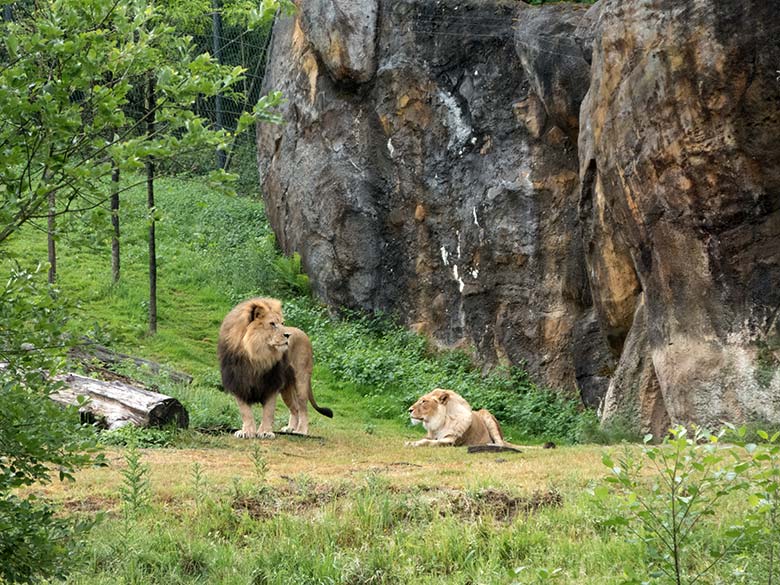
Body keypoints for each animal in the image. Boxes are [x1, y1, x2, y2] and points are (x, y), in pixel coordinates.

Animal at [216, 296, 332, 438]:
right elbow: (245, 412)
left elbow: (268, 411)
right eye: (272, 324)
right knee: (295, 408)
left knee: (303, 408)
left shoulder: (272, 383)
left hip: (301, 380)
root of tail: (303, 333)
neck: (255, 355)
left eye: (283, 323)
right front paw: (247, 432)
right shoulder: (238, 383)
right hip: (286, 389)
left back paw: (301, 431)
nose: (288, 335)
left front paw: (265, 432)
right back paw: (290, 428)